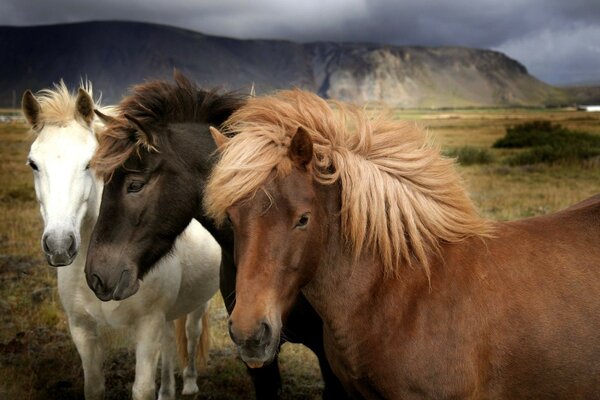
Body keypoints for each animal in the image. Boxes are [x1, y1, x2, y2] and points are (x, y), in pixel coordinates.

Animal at [22, 82, 223, 400]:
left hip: (198, 302)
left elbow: (142, 389)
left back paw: (190, 383)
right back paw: (168, 391)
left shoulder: (148, 326)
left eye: (89, 163)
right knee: (169, 341)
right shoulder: (82, 329)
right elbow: (94, 387)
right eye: (33, 164)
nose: (59, 245)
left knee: (191, 334)